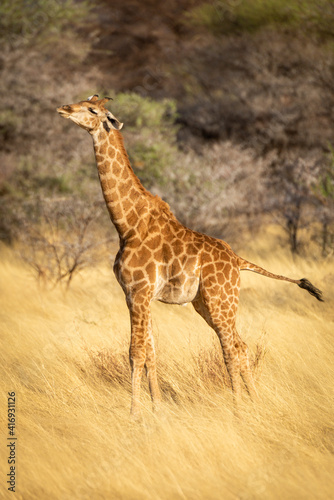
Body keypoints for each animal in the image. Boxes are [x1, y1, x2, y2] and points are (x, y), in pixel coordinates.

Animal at [57, 95, 324, 416]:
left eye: (92, 110)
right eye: (85, 101)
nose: (63, 109)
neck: (127, 224)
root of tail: (238, 261)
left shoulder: (139, 291)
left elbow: (136, 352)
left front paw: (135, 414)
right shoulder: (138, 295)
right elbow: (151, 352)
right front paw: (157, 409)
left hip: (221, 301)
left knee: (231, 347)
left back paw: (238, 409)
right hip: (204, 304)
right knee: (242, 345)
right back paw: (255, 403)